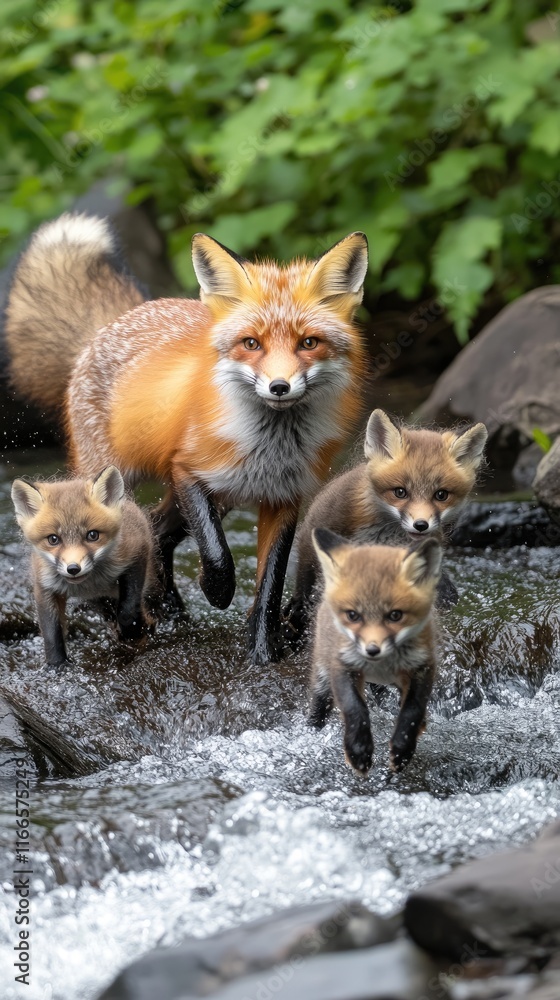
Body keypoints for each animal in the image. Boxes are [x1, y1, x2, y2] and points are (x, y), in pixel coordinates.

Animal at [11, 466, 155, 666]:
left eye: (92, 535)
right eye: (53, 539)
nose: (73, 568)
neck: (90, 585)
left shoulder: (137, 553)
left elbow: (128, 612)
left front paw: (131, 634)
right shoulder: (44, 585)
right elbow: (51, 635)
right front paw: (57, 666)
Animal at [285, 408, 487, 641]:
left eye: (441, 495)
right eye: (400, 492)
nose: (421, 525)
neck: (383, 531)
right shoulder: (320, 522)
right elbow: (306, 573)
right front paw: (299, 610)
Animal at [309, 529, 442, 775]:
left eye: (395, 615)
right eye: (353, 615)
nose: (372, 650)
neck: (381, 667)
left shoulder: (423, 666)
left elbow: (413, 709)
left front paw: (403, 748)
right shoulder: (342, 665)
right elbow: (354, 708)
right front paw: (358, 751)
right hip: (322, 677)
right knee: (318, 707)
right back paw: (311, 731)